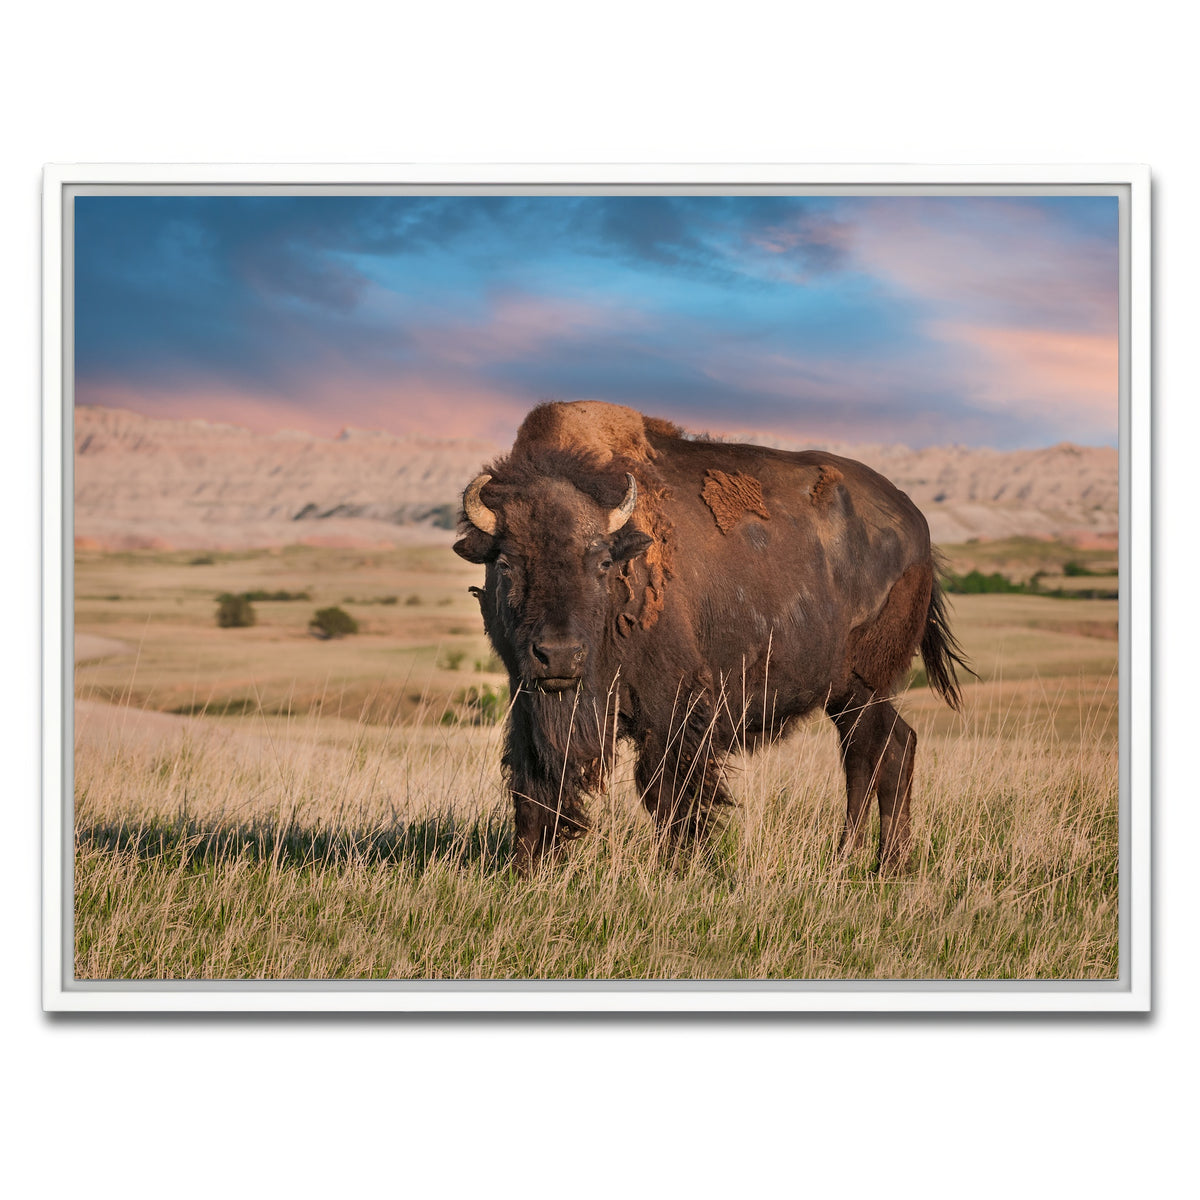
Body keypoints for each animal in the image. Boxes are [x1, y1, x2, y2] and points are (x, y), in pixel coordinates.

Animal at [453, 400, 969, 874]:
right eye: (506, 563)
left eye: (601, 563)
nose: (558, 655)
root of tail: (919, 529)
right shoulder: (527, 699)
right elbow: (533, 781)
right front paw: (527, 868)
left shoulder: (672, 705)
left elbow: (668, 789)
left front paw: (681, 865)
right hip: (850, 696)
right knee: (888, 749)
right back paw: (872, 861)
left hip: (865, 688)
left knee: (873, 754)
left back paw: (872, 861)